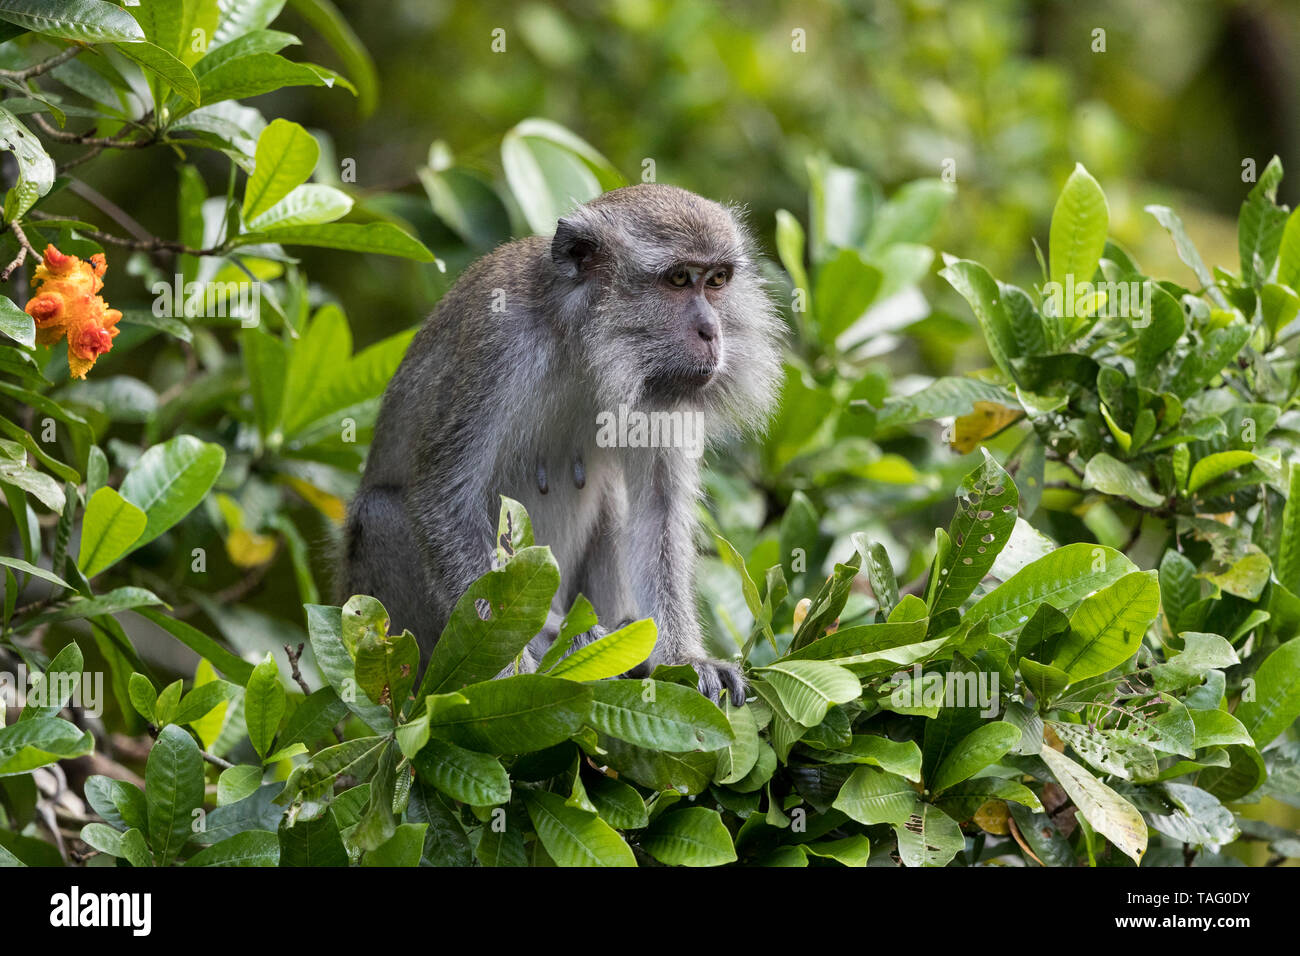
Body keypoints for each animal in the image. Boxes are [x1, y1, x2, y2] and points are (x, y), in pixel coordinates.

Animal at [339, 183, 784, 704]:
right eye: (678, 279)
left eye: (717, 280)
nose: (712, 331)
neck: (582, 341)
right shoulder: (497, 342)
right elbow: (443, 503)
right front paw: (505, 675)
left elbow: (657, 510)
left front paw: (684, 658)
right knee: (382, 514)